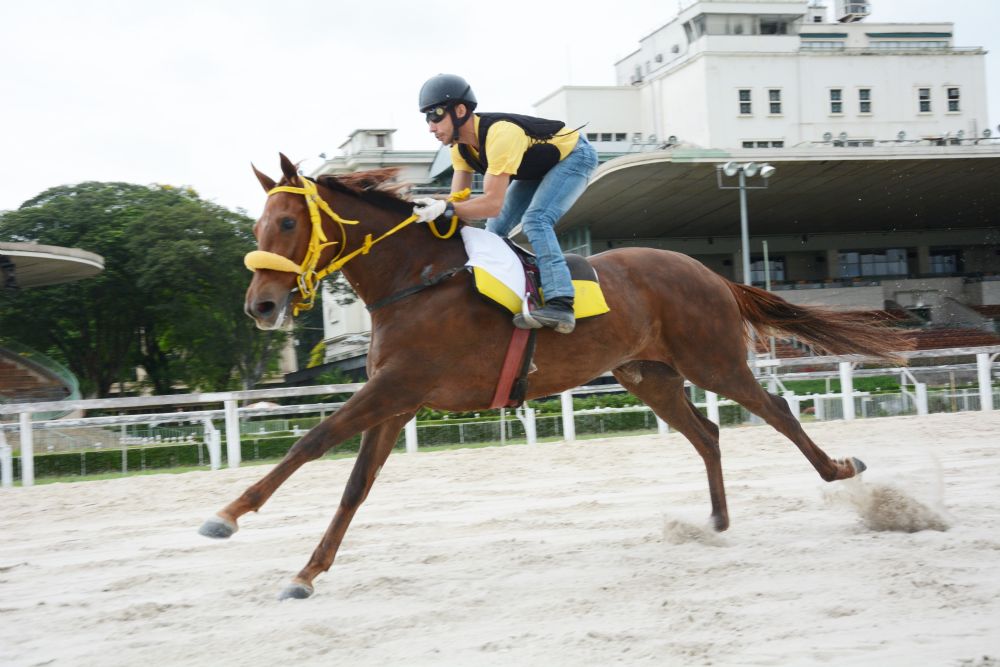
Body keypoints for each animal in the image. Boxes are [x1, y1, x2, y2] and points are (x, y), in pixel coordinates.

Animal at [199, 154, 911, 600]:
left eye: (288, 222)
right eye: (259, 225)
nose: (261, 306)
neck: (415, 279)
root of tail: (710, 272)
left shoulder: (396, 388)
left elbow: (311, 441)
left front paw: (228, 515)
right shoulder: (396, 401)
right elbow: (354, 487)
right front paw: (307, 572)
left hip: (713, 360)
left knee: (778, 412)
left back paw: (842, 471)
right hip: (647, 375)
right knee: (707, 433)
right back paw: (715, 521)